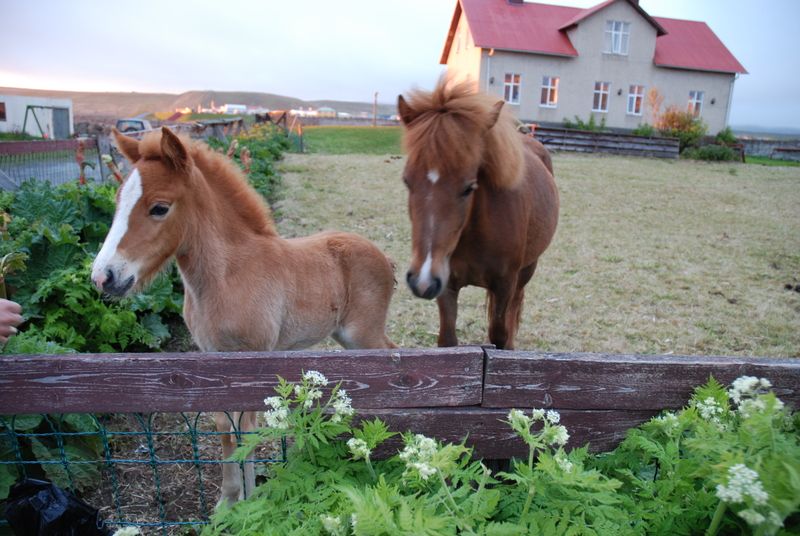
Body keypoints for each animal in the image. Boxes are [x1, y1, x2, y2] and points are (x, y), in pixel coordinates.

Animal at [92, 127, 398, 504]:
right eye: (118, 201)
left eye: (159, 207)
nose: (103, 276)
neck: (228, 275)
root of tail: (383, 256)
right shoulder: (216, 359)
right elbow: (226, 428)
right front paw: (230, 500)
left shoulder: (254, 358)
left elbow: (247, 431)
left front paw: (249, 500)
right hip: (345, 336)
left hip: (362, 333)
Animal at [398, 77, 556, 350]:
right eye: (407, 182)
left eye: (469, 187)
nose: (422, 280)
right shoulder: (446, 285)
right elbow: (448, 338)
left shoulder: (505, 285)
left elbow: (500, 333)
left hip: (527, 269)